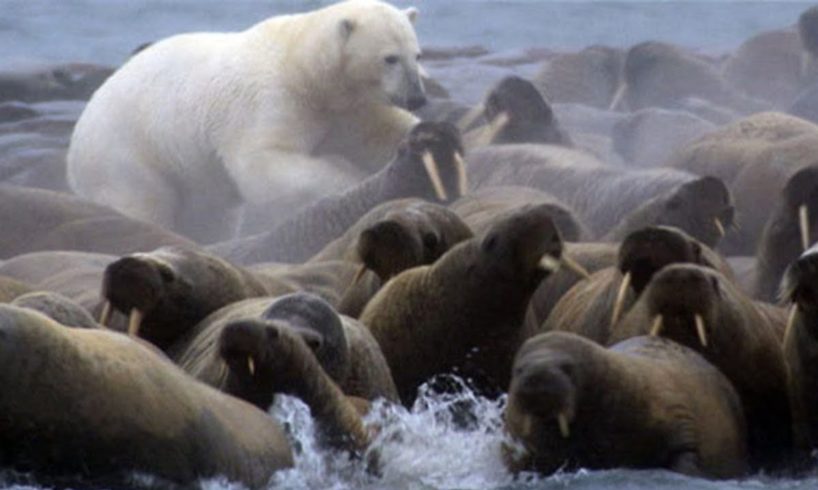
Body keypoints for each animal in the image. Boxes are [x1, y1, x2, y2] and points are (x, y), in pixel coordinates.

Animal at [67, 0, 424, 243]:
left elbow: (377, 134)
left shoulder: (347, 109)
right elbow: (263, 163)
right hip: (126, 155)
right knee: (143, 202)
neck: (302, 65)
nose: (418, 97)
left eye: (416, 54)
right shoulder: (269, 101)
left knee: (210, 216)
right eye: (390, 58)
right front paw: (347, 178)